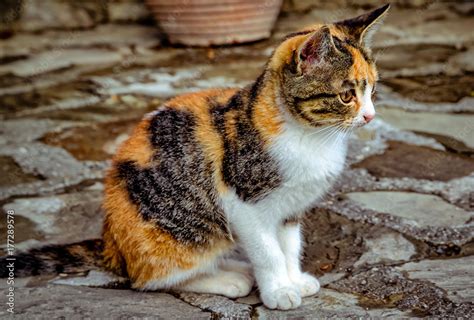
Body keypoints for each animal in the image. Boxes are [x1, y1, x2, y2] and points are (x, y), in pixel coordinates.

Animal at [0, 4, 388, 310]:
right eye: (346, 95)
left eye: (371, 89)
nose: (370, 116)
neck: (310, 136)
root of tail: (112, 246)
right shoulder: (244, 204)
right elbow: (267, 250)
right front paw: (278, 290)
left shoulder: (292, 206)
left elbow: (289, 245)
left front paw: (294, 278)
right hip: (187, 231)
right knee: (151, 279)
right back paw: (228, 280)